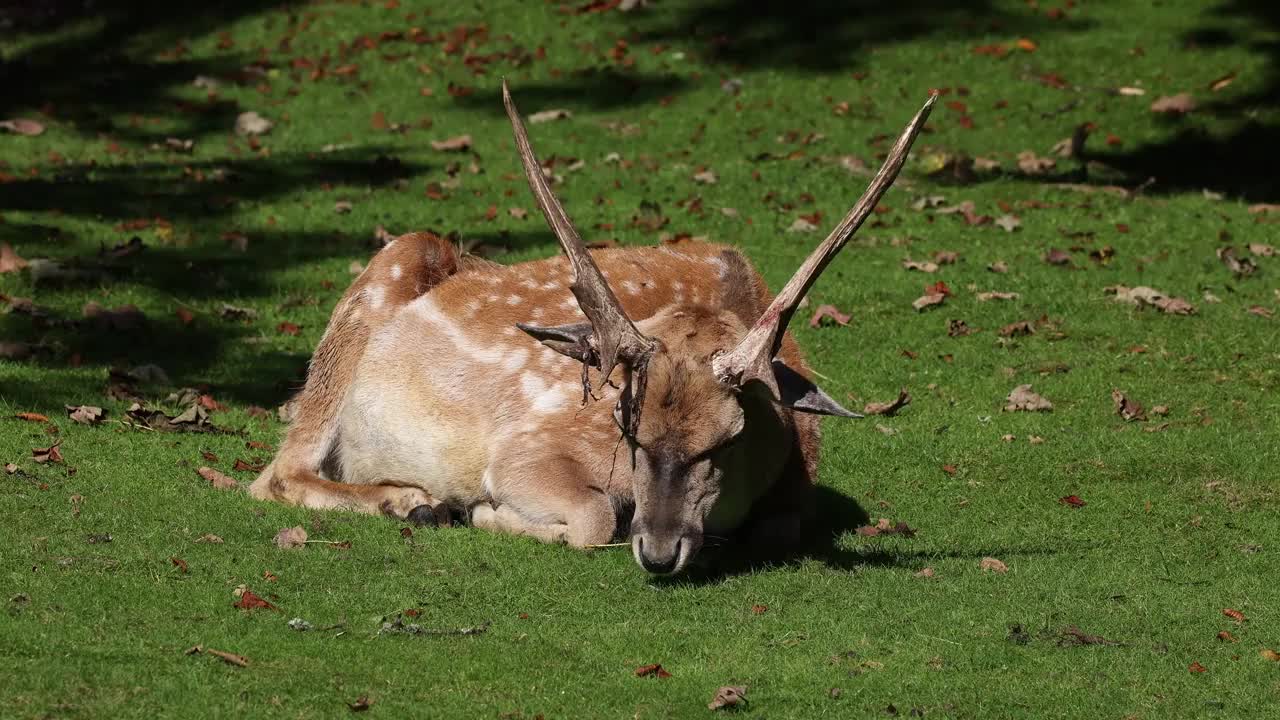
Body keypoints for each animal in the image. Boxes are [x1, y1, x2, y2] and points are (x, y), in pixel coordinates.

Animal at [249, 79, 936, 571]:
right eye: (629, 430)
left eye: (725, 440)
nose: (658, 551)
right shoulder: (529, 447)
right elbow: (593, 518)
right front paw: (485, 513)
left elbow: (779, 529)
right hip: (376, 287)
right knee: (275, 474)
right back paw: (411, 501)